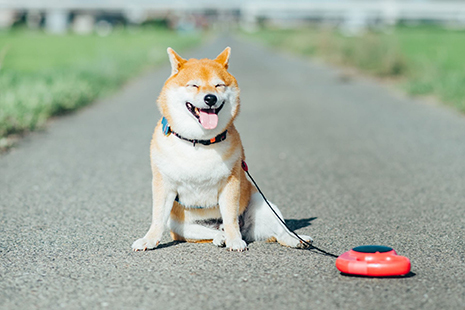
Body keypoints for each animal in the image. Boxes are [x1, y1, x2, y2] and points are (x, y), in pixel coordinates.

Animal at [131, 46, 312, 252]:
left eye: (219, 85)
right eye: (194, 85)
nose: (210, 98)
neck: (199, 141)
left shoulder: (230, 183)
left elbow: (231, 217)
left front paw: (235, 240)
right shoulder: (164, 184)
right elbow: (157, 217)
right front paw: (149, 239)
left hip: (264, 205)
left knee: (280, 231)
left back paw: (297, 239)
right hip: (181, 226)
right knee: (210, 232)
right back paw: (221, 237)